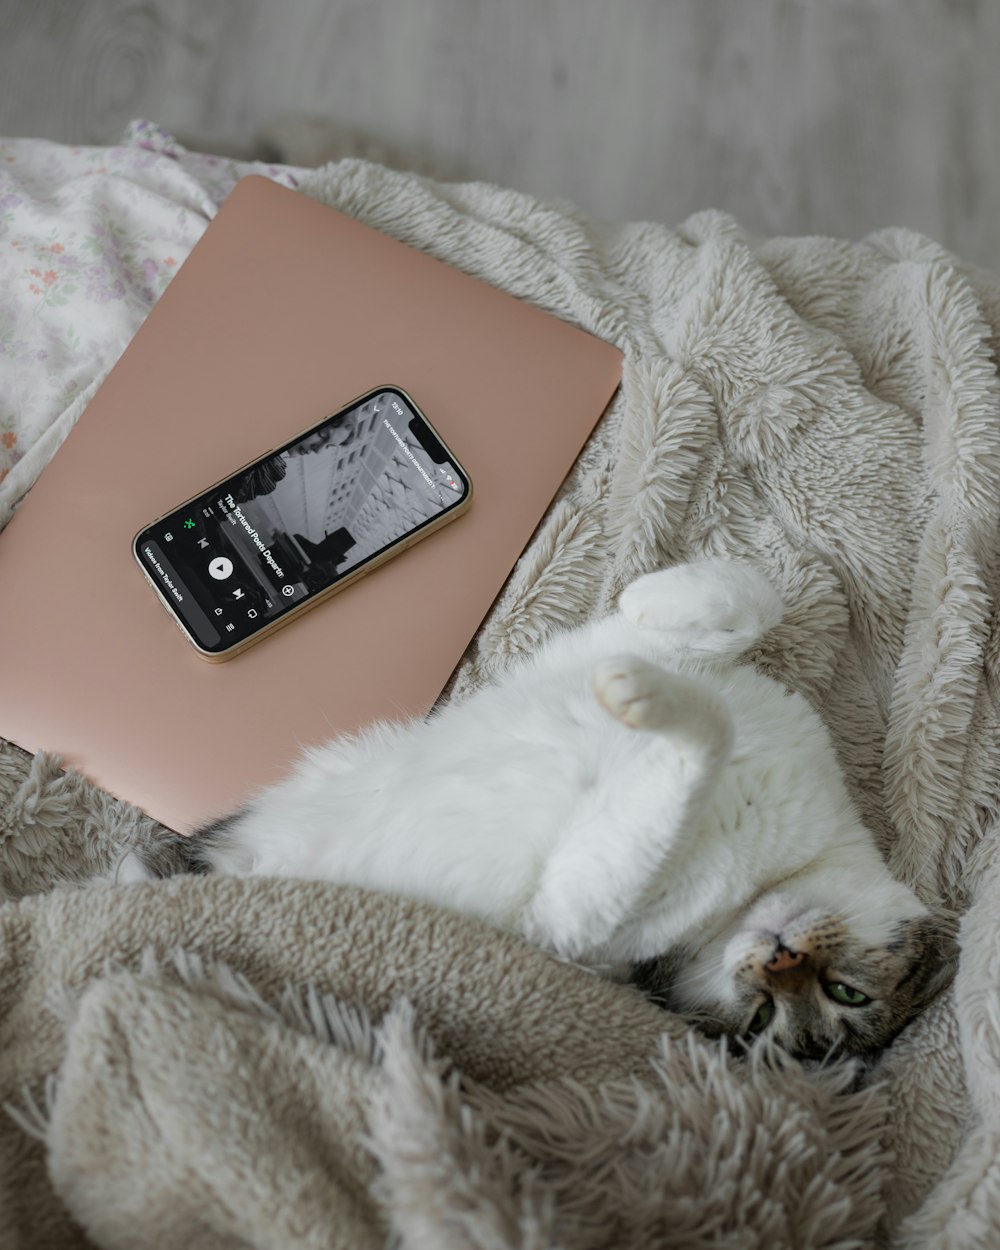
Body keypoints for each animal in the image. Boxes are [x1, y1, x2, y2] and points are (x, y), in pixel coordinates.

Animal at [150, 562, 955, 1060]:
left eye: (839, 994)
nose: (779, 962)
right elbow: (752, 596)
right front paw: (653, 598)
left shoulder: (571, 915)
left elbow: (704, 735)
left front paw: (648, 698)